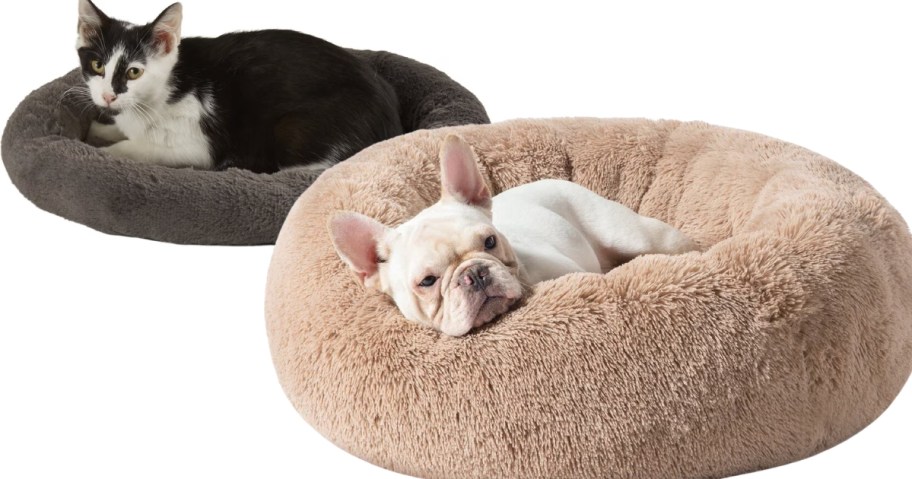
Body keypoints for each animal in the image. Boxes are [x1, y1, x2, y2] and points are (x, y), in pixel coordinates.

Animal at [76, 0, 404, 172]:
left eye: (134, 72)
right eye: (98, 66)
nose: (108, 96)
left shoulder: (199, 147)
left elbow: (132, 148)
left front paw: (100, 149)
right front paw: (97, 128)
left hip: (294, 133)